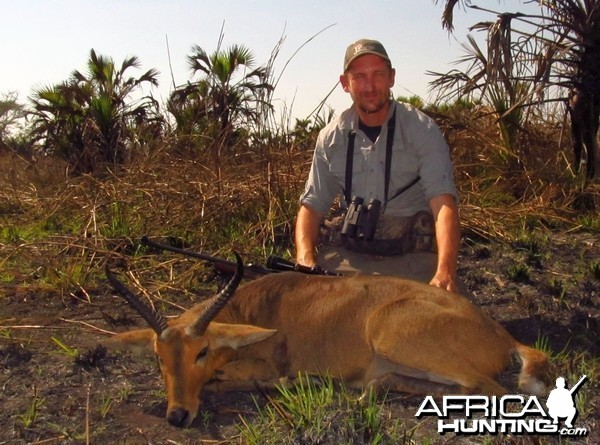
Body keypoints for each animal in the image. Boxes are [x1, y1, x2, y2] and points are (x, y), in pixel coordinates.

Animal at [104, 253, 548, 426]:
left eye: (202, 351)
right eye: (160, 358)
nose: (178, 416)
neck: (251, 309)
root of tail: (501, 333)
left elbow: (232, 379)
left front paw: (290, 380)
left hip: (393, 337)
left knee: (492, 390)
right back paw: (370, 389)